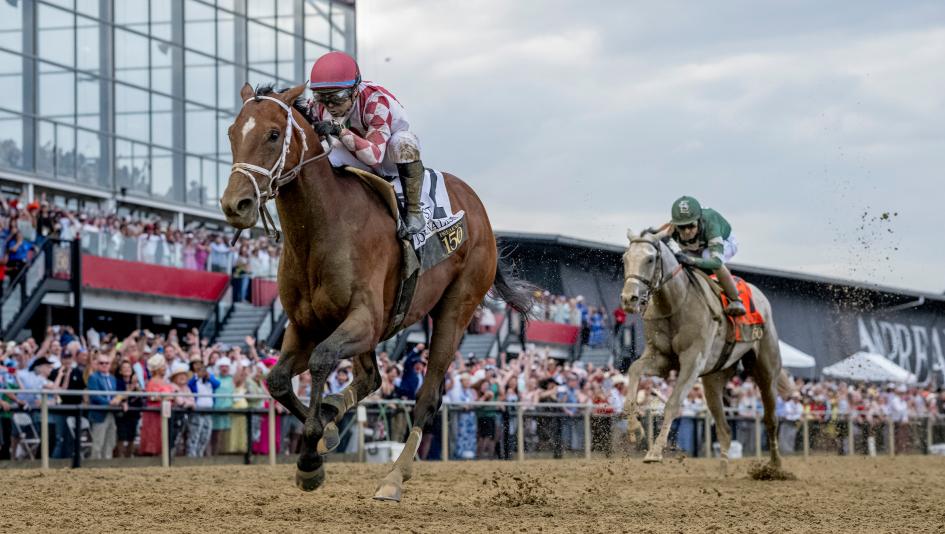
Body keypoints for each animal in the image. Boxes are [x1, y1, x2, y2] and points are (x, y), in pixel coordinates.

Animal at [220, 83, 534, 501]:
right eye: (232, 133)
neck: (321, 227)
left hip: (457, 307)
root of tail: (478, 208)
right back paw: (337, 410)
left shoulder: (364, 321)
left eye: (273, 134)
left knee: (426, 398)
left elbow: (321, 361)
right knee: (371, 378)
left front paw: (311, 456)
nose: (235, 205)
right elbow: (278, 380)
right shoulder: (305, 326)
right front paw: (326, 432)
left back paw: (394, 478)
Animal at [619, 228, 792, 474]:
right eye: (625, 258)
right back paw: (722, 469)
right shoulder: (662, 359)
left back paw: (774, 466)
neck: (675, 303)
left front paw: (655, 452)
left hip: (766, 370)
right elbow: (634, 370)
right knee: (725, 428)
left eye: (650, 259)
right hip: (714, 379)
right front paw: (635, 429)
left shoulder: (692, 361)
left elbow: (673, 403)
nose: (629, 299)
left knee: (770, 418)